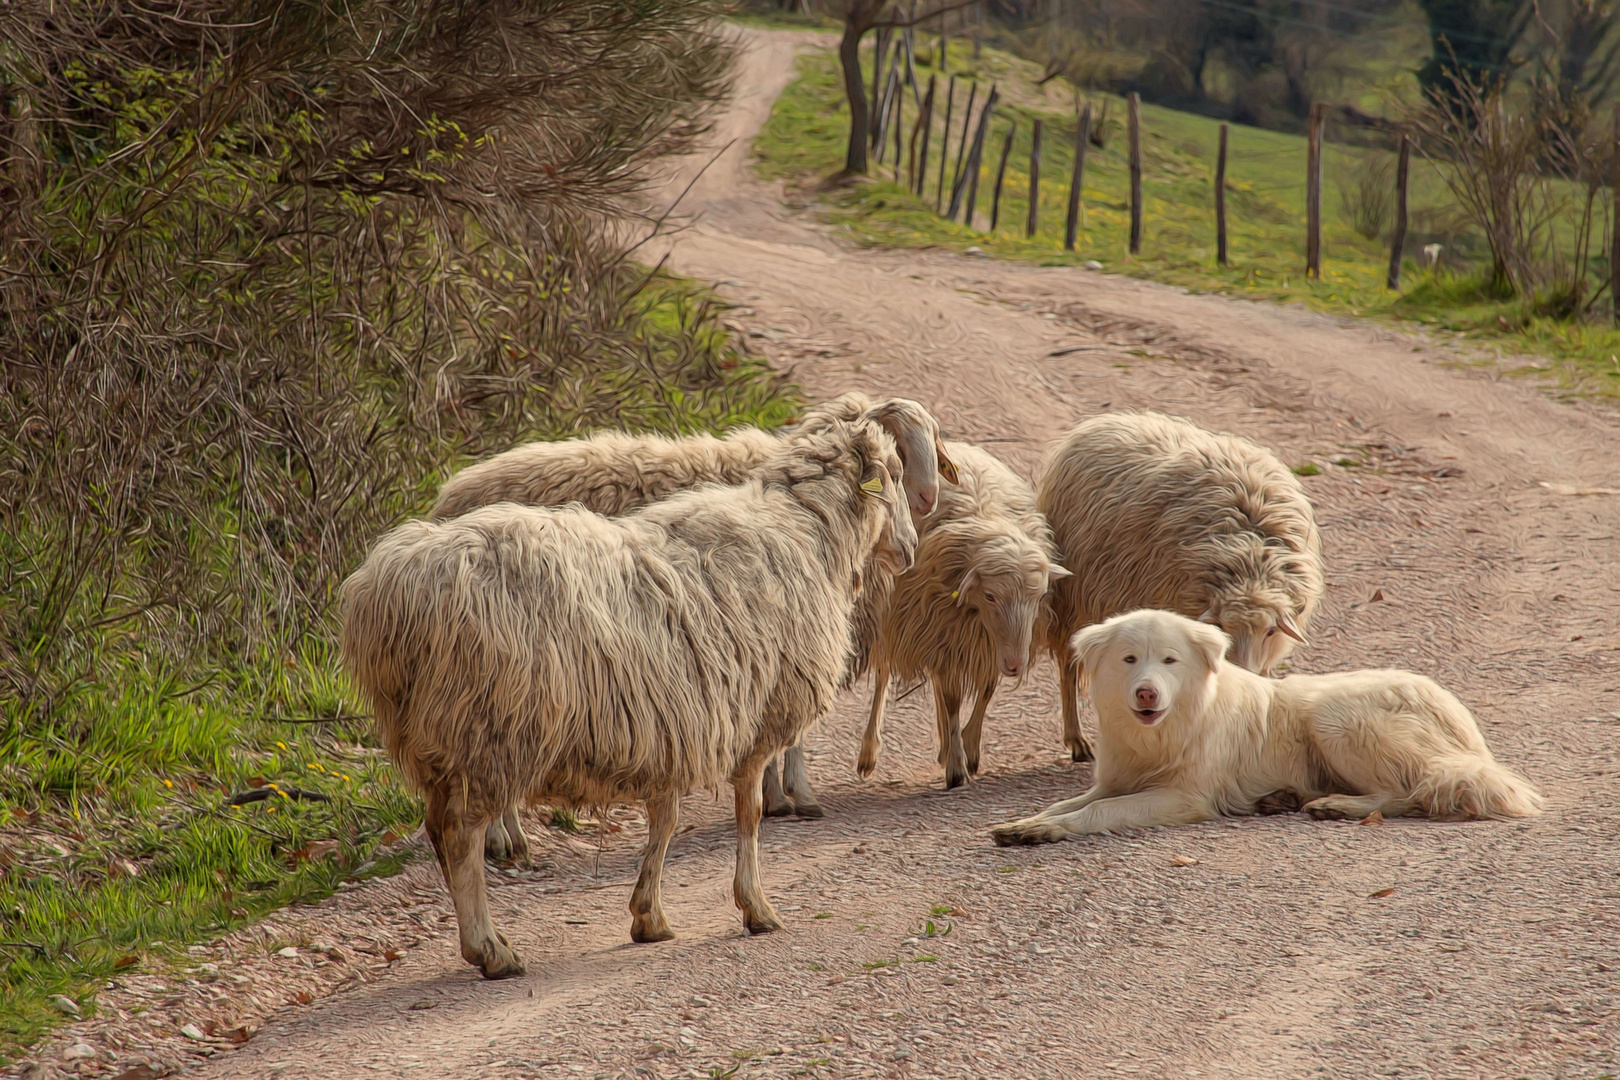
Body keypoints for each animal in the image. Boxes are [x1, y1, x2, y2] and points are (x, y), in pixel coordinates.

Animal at [340, 420, 913, 977]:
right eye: (895, 476)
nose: (908, 550)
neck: (809, 531)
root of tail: (390, 589)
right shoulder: (755, 722)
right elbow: (747, 817)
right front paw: (756, 907)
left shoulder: (679, 724)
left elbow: (665, 821)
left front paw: (648, 916)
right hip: (489, 728)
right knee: (462, 836)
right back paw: (491, 950)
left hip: (441, 738)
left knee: (440, 831)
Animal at [855, 443, 1069, 790]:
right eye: (991, 596)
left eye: (1038, 597)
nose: (1016, 665)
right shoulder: (943, 631)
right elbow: (953, 699)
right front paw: (957, 768)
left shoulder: (978, 642)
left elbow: (985, 691)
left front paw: (969, 749)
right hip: (892, 620)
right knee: (884, 677)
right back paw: (869, 752)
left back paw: (944, 746)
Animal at [984, 608, 1542, 841]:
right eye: (1129, 660)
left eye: (1169, 661)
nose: (1146, 692)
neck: (1160, 734)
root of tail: (1458, 715)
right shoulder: (1115, 781)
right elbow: (1067, 804)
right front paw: (1028, 823)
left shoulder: (1181, 797)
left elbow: (1097, 813)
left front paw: (1045, 831)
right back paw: (1286, 799)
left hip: (1334, 719)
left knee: (1413, 791)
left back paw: (1334, 806)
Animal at [1036, 414, 1328, 761]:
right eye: (1223, 628)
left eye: (1270, 631)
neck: (1249, 561)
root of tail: (1106, 419)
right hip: (1074, 600)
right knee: (1068, 667)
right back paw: (1077, 739)